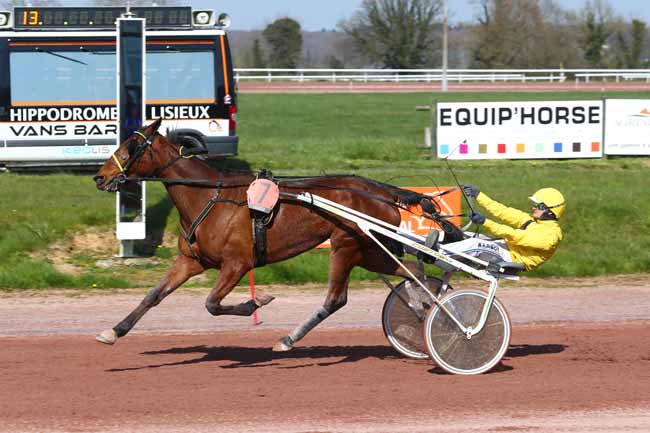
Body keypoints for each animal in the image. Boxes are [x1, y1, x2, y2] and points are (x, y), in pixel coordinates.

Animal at [92, 119, 461, 351]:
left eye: (130, 146)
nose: (100, 176)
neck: (208, 196)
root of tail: (379, 189)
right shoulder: (191, 260)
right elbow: (153, 295)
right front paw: (113, 331)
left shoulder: (237, 263)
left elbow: (212, 304)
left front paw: (257, 301)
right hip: (370, 251)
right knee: (411, 272)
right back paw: (426, 307)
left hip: (346, 246)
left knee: (337, 298)